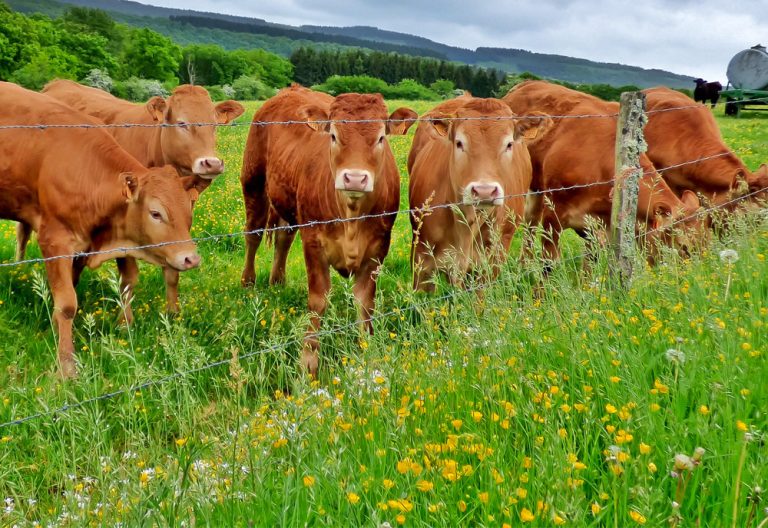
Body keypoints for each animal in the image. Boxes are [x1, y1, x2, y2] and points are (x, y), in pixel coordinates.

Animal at [0, 81, 200, 378]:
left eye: (189, 212)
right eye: (156, 213)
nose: (191, 258)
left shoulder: (84, 246)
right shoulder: (55, 241)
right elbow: (67, 304)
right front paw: (66, 366)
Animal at [39, 79, 244, 316]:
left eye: (214, 125)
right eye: (181, 123)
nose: (212, 163)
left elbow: (173, 268)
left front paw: (173, 315)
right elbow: (129, 277)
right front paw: (124, 320)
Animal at [240, 84, 416, 377]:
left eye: (381, 137)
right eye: (333, 135)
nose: (354, 178)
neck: (352, 217)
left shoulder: (379, 247)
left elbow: (365, 302)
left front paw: (367, 352)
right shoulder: (314, 242)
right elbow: (318, 300)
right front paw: (308, 361)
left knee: (283, 237)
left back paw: (277, 280)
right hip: (253, 181)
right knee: (253, 234)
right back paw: (248, 282)